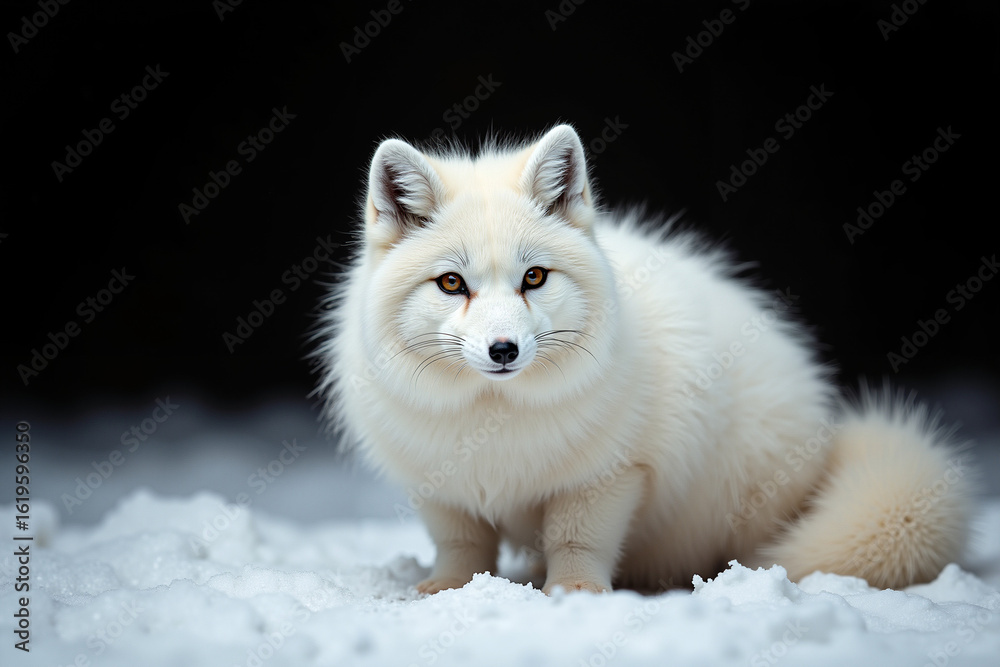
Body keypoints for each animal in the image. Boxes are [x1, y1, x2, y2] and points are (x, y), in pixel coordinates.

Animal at [313, 124, 971, 594]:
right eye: (452, 284)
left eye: (534, 277)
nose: (504, 350)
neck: (494, 420)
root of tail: (827, 440)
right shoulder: (440, 488)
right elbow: (461, 546)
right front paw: (447, 588)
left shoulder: (610, 476)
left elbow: (577, 541)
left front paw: (574, 593)